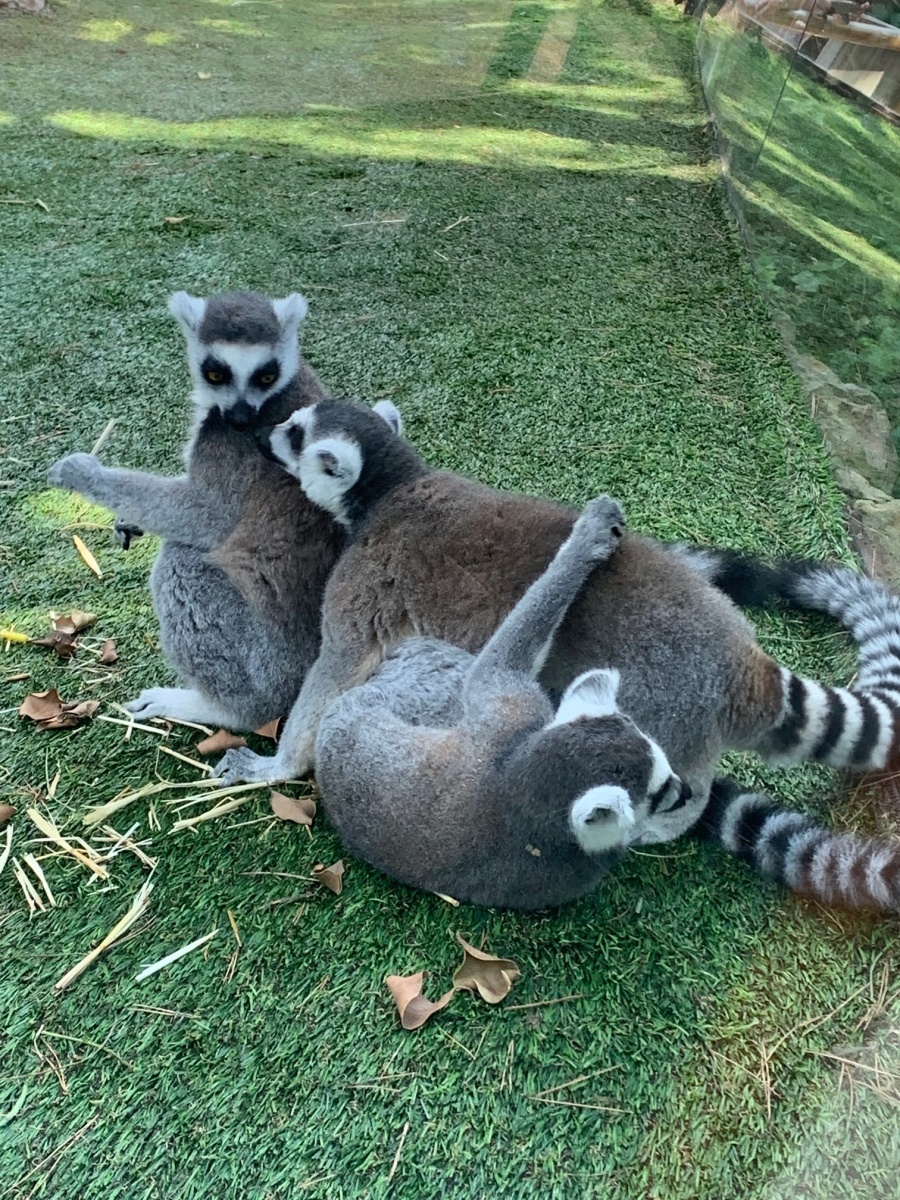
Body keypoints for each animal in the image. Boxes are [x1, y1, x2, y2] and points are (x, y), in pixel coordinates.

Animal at [47, 290, 344, 730]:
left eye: (266, 376)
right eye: (216, 373)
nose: (240, 417)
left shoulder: (230, 447)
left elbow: (205, 517)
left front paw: (84, 475)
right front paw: (127, 519)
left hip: (269, 663)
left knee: (182, 563)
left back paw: (220, 710)